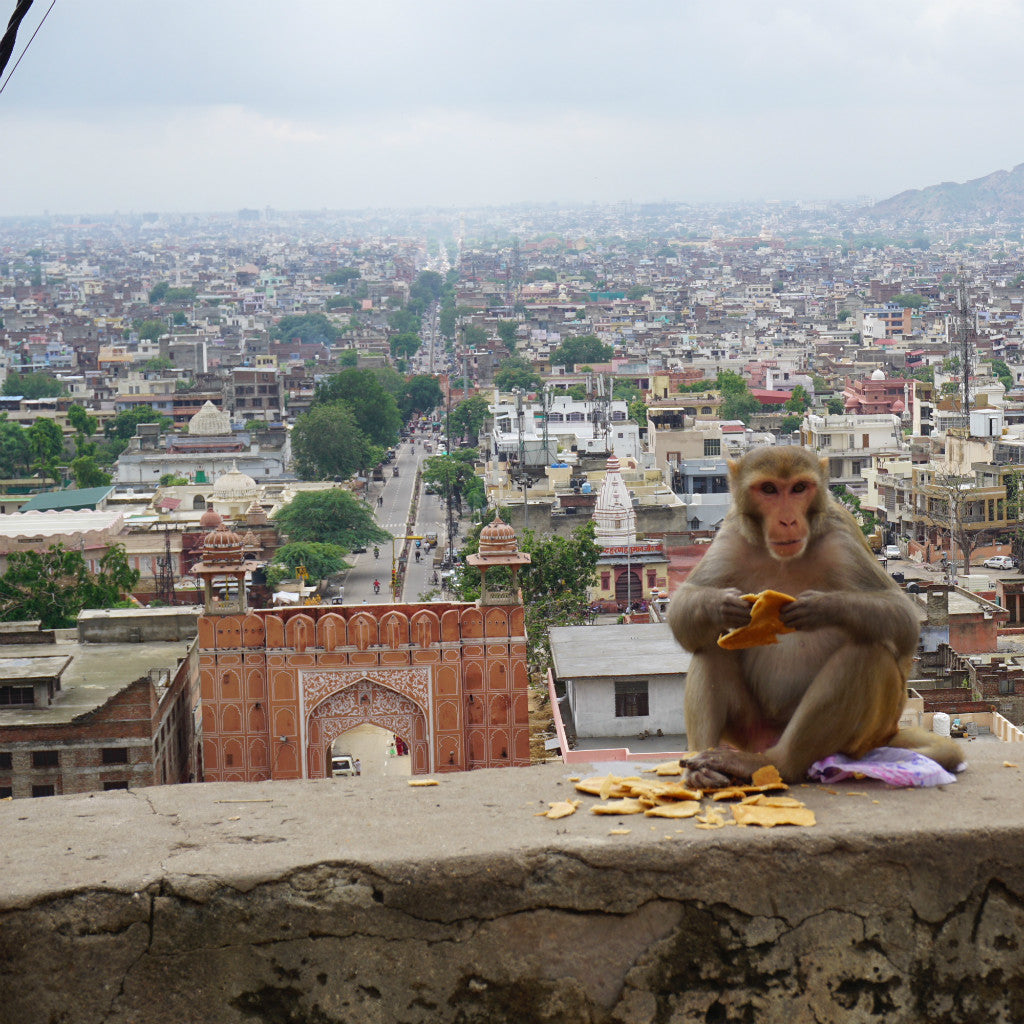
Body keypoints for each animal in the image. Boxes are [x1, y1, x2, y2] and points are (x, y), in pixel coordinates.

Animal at [667, 444, 962, 786]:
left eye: (799, 488)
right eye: (769, 489)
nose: (787, 521)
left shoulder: (840, 537)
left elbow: (902, 620)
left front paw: (820, 608)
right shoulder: (732, 535)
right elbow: (683, 611)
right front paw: (726, 606)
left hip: (861, 737)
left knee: (868, 654)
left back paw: (775, 764)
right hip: (751, 730)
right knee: (710, 649)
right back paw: (702, 767)